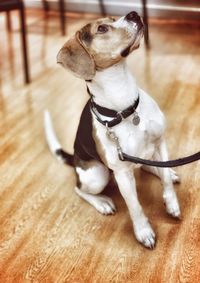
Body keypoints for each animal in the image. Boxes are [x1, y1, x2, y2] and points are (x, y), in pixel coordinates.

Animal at [44, 12, 181, 250]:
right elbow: (135, 206)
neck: (126, 107)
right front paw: (143, 232)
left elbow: (164, 180)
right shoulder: (122, 174)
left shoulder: (160, 142)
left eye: (112, 18)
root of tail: (75, 160)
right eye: (101, 29)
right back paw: (102, 203)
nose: (134, 14)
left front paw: (172, 203)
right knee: (79, 188)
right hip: (97, 175)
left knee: (153, 167)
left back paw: (166, 172)